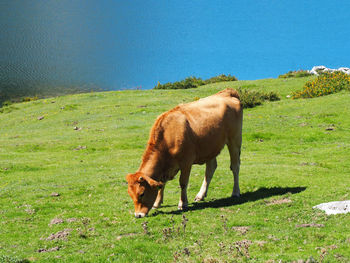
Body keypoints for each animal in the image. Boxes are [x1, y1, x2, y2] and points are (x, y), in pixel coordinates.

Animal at [126, 88, 243, 219]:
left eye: (142, 193)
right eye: (130, 194)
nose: (138, 215)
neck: (167, 137)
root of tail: (227, 92)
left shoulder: (186, 162)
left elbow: (183, 183)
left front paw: (182, 203)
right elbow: (162, 184)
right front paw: (157, 202)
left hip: (234, 140)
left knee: (235, 166)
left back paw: (235, 192)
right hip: (210, 146)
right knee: (210, 169)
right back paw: (201, 195)